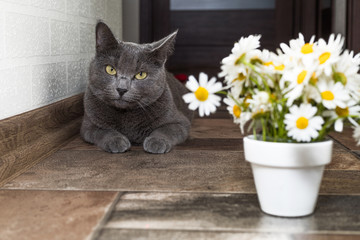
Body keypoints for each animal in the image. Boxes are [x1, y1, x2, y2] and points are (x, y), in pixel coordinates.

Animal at [80, 22, 193, 154]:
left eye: (141, 75)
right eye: (110, 69)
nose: (121, 89)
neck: (126, 116)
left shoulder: (181, 122)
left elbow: (167, 129)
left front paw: (157, 141)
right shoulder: (88, 126)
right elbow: (102, 131)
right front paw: (116, 140)